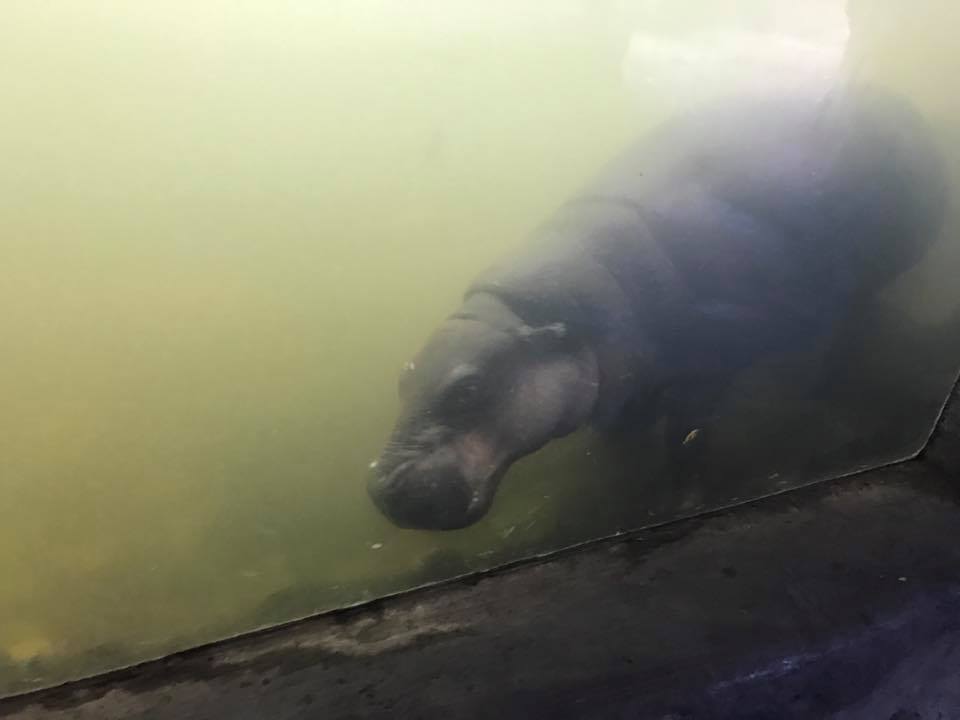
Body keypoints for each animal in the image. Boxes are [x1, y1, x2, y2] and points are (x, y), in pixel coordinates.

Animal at [368, 84, 947, 530]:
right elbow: (621, 446)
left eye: (467, 388)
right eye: (402, 378)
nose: (382, 487)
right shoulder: (622, 388)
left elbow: (685, 437)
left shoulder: (707, 366)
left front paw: (679, 504)